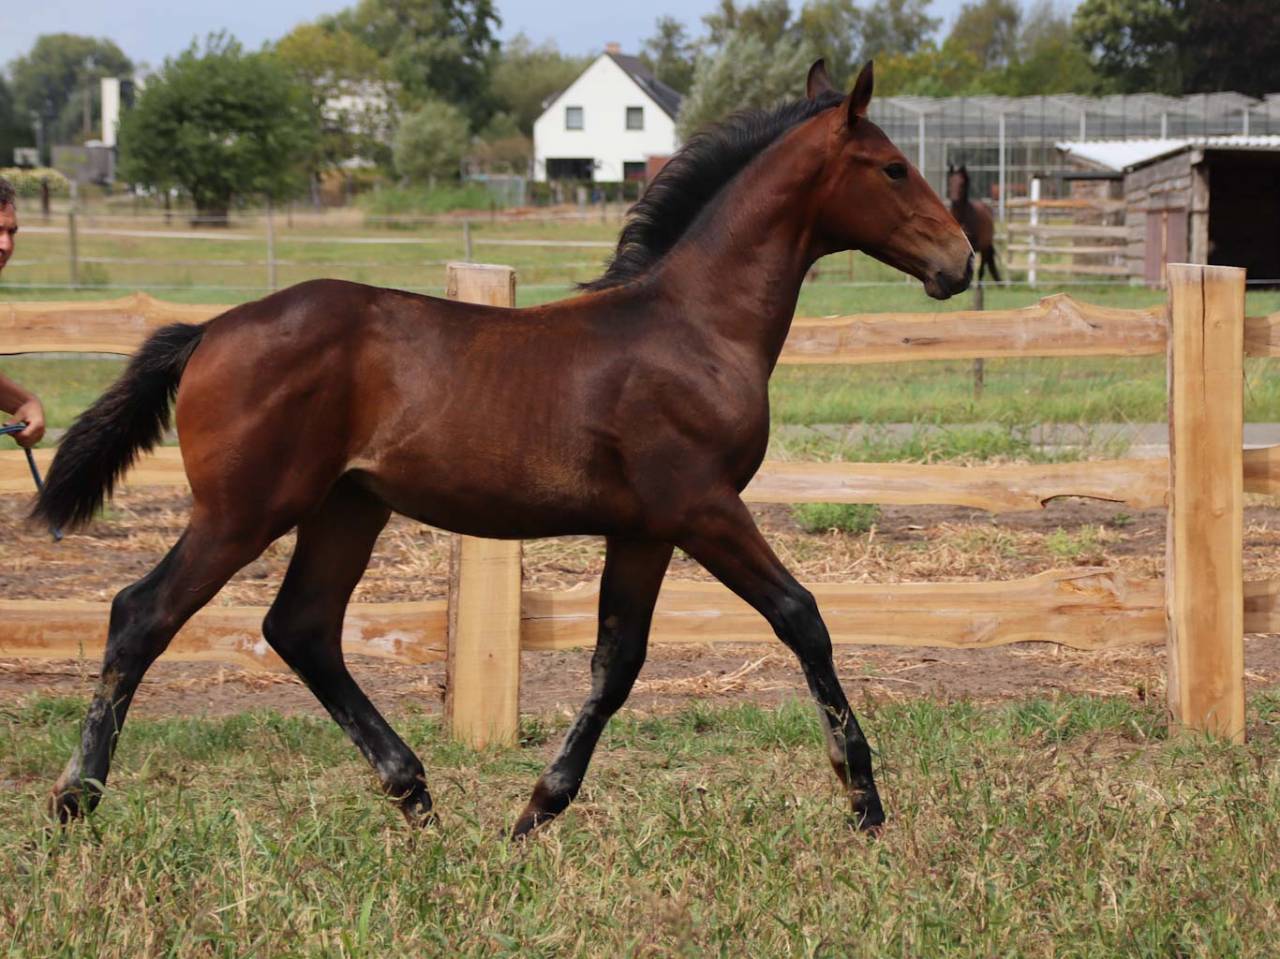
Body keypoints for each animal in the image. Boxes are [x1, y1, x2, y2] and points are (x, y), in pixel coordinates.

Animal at [35, 60, 972, 838]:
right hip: (243, 510)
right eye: (893, 166)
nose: (961, 261)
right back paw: (77, 798)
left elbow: (617, 662)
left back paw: (414, 791)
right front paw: (863, 797)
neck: (694, 325)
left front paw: (535, 810)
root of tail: (207, 332)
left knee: (301, 626)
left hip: (347, 508)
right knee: (142, 614)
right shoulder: (702, 506)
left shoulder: (644, 528)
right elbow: (801, 617)